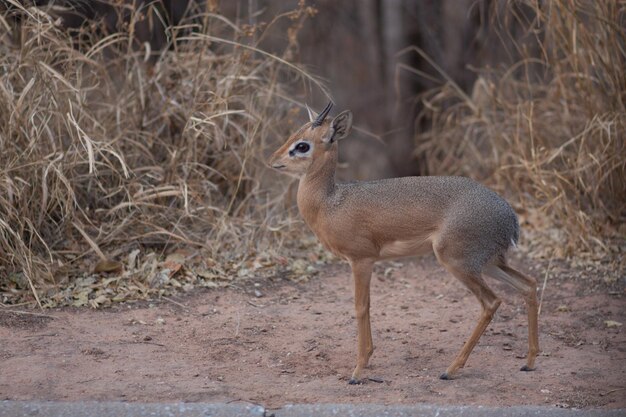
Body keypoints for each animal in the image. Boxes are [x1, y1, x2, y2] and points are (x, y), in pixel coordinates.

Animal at [268, 102, 536, 382]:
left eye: (302, 146)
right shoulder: (365, 263)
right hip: (488, 263)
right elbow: (369, 305)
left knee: (492, 302)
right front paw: (368, 359)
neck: (330, 204)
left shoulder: (361, 260)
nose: (273, 161)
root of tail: (509, 216)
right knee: (528, 285)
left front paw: (358, 370)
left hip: (458, 262)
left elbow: (361, 307)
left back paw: (451, 369)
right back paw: (529, 361)